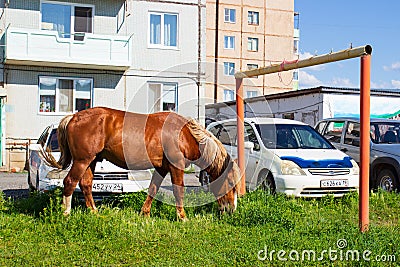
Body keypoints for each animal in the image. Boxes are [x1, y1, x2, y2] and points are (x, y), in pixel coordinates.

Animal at [42, 107, 239, 220]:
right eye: (230, 182)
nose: (231, 210)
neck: (184, 134)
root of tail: (73, 117)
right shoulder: (176, 166)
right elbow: (178, 191)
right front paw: (182, 217)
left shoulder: (161, 168)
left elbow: (153, 189)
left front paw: (144, 213)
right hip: (82, 161)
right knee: (70, 182)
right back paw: (66, 214)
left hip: (91, 161)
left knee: (85, 184)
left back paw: (94, 212)